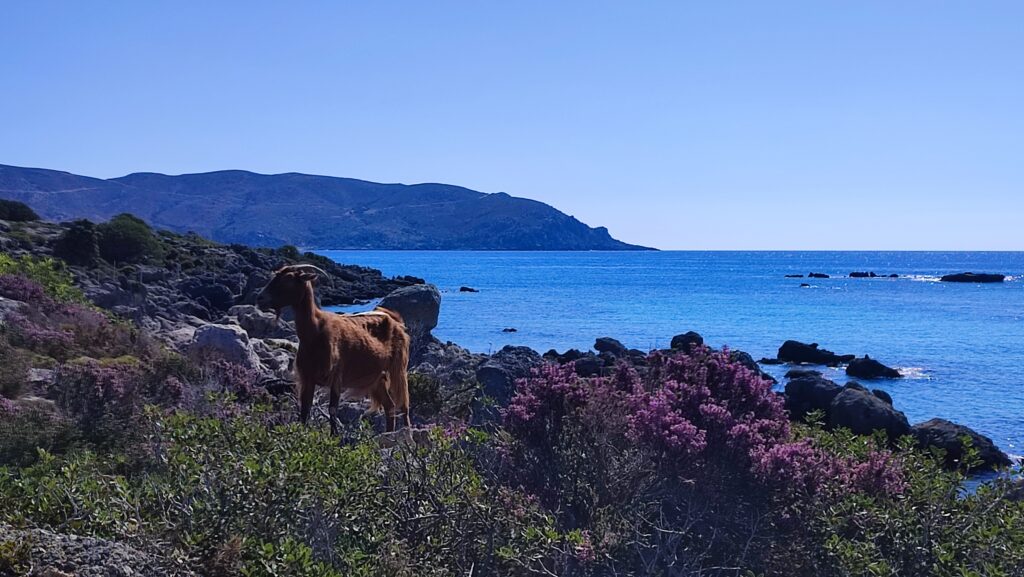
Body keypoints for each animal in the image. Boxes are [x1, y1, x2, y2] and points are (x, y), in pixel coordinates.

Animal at [256, 264, 411, 432]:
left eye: (289, 278)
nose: (260, 298)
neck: (315, 333)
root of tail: (397, 322)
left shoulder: (336, 377)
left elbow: (332, 410)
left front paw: (334, 436)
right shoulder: (307, 378)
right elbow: (305, 411)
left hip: (398, 368)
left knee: (404, 405)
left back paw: (407, 434)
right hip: (378, 377)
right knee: (390, 406)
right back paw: (389, 433)